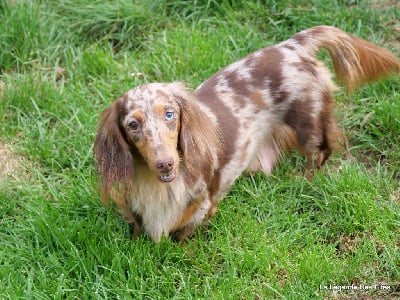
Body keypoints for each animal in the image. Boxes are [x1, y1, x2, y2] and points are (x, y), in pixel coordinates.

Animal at [94, 25, 400, 241]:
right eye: (133, 124)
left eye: (169, 114)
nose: (165, 164)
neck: (160, 186)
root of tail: (293, 45)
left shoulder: (203, 206)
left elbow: (185, 234)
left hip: (308, 123)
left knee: (322, 151)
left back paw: (304, 179)